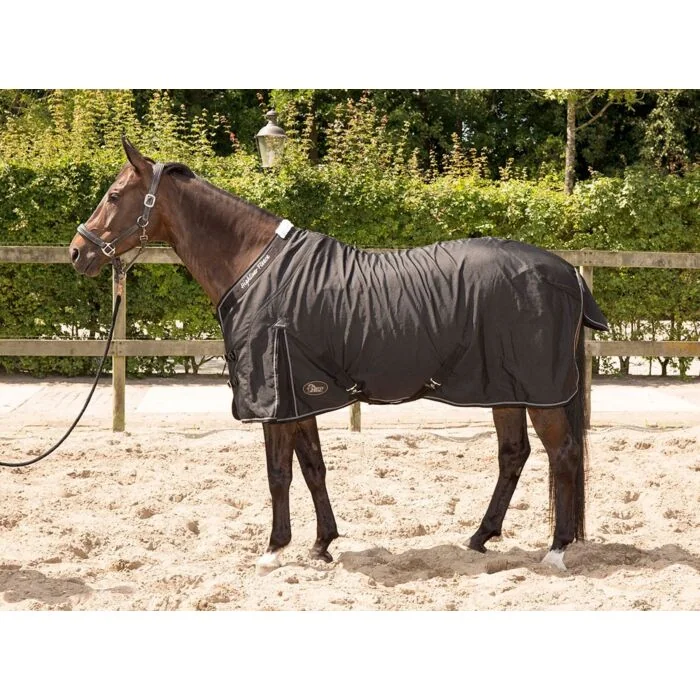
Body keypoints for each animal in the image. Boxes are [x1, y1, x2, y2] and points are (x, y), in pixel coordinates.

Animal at [69, 137, 608, 575]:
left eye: (113, 196)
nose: (78, 251)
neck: (256, 268)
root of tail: (566, 272)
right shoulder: (299, 396)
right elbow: (313, 467)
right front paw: (321, 545)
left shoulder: (276, 399)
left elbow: (279, 474)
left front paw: (274, 550)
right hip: (505, 388)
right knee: (514, 455)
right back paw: (479, 537)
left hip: (539, 392)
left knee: (562, 454)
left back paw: (556, 550)